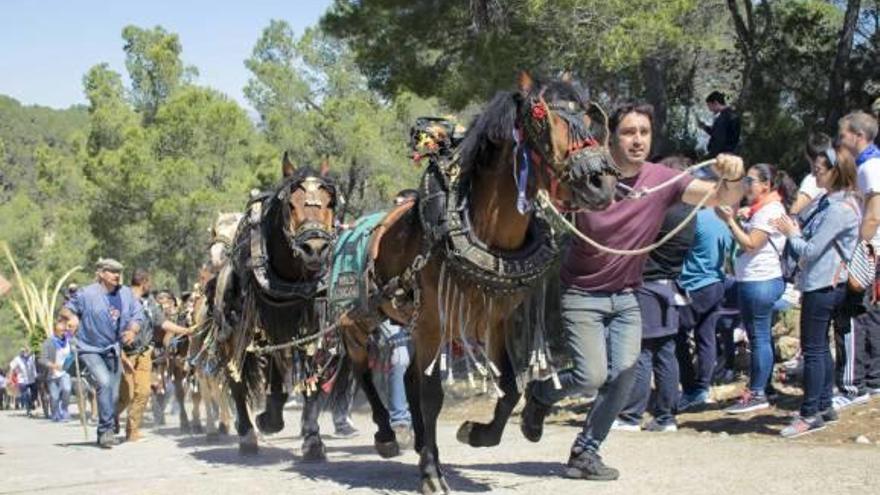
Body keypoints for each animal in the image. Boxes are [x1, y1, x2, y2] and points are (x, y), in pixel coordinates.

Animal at [217, 154, 340, 454]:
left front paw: (312, 437)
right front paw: (267, 419)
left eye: (329, 202)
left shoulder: (313, 325)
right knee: (237, 379)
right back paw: (247, 433)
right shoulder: (263, 324)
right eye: (291, 204)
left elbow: (312, 374)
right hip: (234, 335)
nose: (315, 249)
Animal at [330, 71, 620, 494]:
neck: (482, 231)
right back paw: (386, 434)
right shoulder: (432, 322)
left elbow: (510, 386)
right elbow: (432, 395)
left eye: (590, 117)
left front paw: (477, 433)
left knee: (407, 377)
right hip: (360, 317)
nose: (601, 183)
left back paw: (419, 439)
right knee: (362, 367)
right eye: (541, 120)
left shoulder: (494, 320)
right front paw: (432, 472)